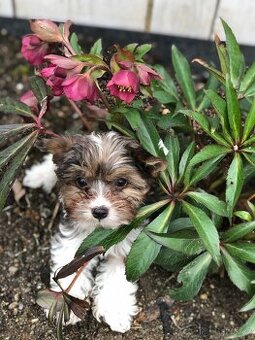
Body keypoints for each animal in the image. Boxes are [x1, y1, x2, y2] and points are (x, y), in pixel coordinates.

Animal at [23, 132, 165, 332]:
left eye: (121, 182)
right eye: (81, 181)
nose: (99, 211)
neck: (101, 231)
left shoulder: (126, 243)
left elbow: (117, 272)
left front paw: (116, 311)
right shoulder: (76, 236)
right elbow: (70, 266)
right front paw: (66, 302)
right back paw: (38, 175)